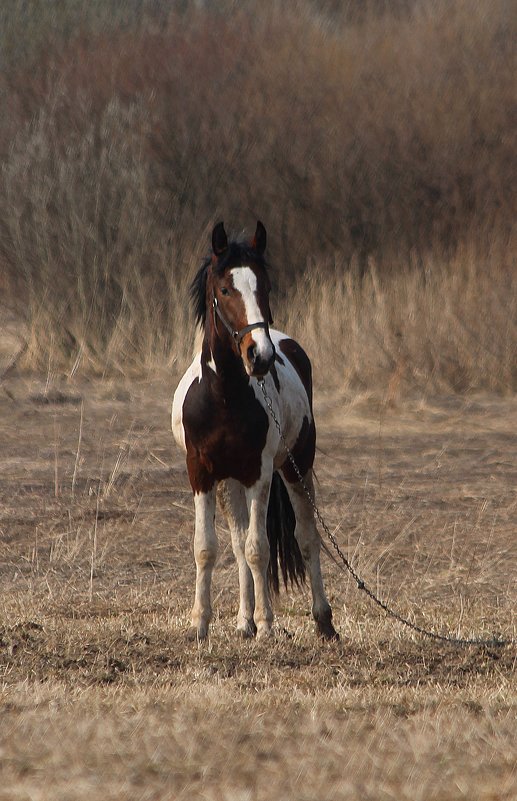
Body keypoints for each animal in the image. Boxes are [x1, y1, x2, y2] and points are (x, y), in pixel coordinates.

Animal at [171, 222, 336, 640]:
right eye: (224, 289)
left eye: (265, 286)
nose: (259, 355)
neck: (224, 397)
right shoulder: (201, 473)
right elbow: (207, 548)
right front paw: (200, 624)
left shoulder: (259, 473)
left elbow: (258, 548)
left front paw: (266, 625)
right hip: (229, 483)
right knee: (236, 541)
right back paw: (243, 622)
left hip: (295, 467)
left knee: (306, 537)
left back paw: (322, 621)